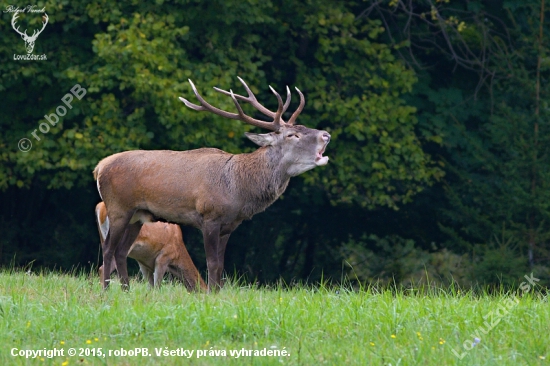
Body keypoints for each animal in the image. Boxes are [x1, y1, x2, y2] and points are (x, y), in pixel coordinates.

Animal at [95, 78, 332, 292]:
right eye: (293, 134)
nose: (326, 134)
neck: (238, 190)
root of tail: (99, 167)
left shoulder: (229, 226)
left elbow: (221, 266)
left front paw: (218, 294)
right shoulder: (209, 216)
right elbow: (212, 263)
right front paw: (210, 295)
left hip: (138, 216)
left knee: (121, 251)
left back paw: (126, 291)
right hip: (119, 208)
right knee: (108, 249)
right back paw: (106, 292)